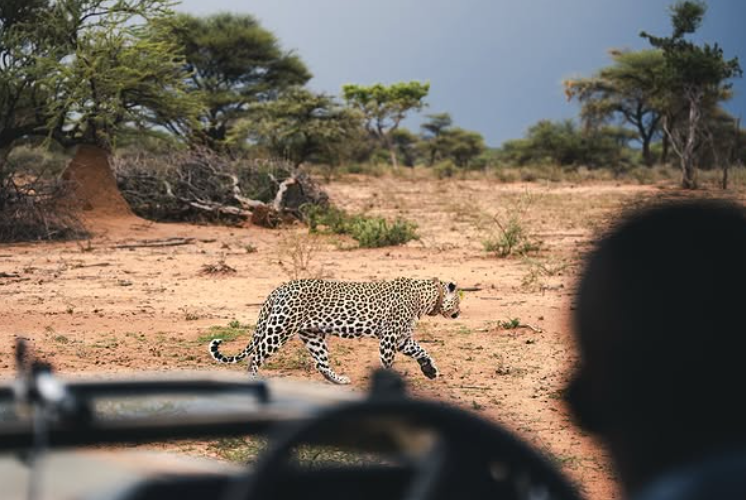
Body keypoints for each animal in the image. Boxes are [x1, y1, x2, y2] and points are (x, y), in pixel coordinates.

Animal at [206, 276, 456, 384]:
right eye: (459, 301)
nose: (459, 313)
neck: (426, 296)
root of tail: (279, 289)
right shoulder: (390, 337)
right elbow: (388, 361)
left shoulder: (402, 338)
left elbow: (422, 351)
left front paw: (429, 370)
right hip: (279, 329)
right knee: (256, 356)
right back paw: (251, 379)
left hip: (313, 335)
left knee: (321, 363)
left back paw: (339, 380)